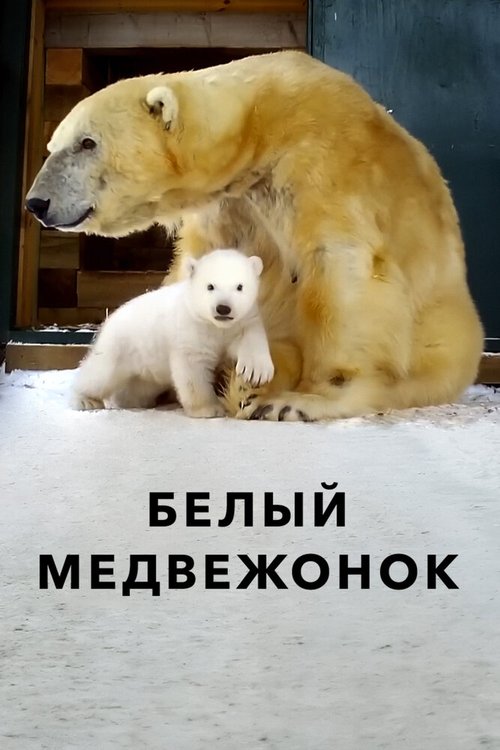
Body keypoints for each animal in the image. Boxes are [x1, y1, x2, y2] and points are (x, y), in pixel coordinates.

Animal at [71, 249, 274, 417]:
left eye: (240, 286)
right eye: (210, 286)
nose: (223, 308)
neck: (214, 325)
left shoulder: (239, 323)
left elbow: (249, 336)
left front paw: (256, 372)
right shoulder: (191, 327)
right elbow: (193, 368)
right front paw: (209, 409)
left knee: (138, 387)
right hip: (120, 347)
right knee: (99, 375)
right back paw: (85, 400)